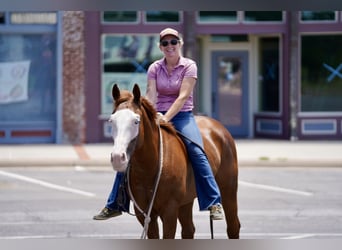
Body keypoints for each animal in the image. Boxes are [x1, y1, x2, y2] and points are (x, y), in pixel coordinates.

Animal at [109, 83, 240, 238]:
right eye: (111, 121)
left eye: (136, 121)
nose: (118, 157)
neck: (149, 167)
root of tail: (218, 127)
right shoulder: (143, 213)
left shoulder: (169, 210)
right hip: (186, 202)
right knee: (189, 230)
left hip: (229, 190)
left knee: (233, 227)